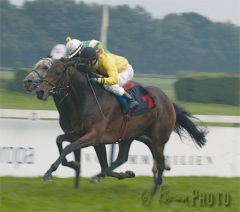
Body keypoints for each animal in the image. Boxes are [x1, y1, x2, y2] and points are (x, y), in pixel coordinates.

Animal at [35, 58, 206, 195]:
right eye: (47, 70)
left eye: (58, 72)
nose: (40, 91)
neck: (90, 98)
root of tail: (169, 101)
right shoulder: (82, 133)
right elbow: (60, 140)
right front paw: (71, 164)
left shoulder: (94, 136)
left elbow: (68, 148)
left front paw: (49, 172)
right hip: (130, 135)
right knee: (124, 158)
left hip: (158, 137)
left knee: (160, 161)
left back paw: (154, 190)